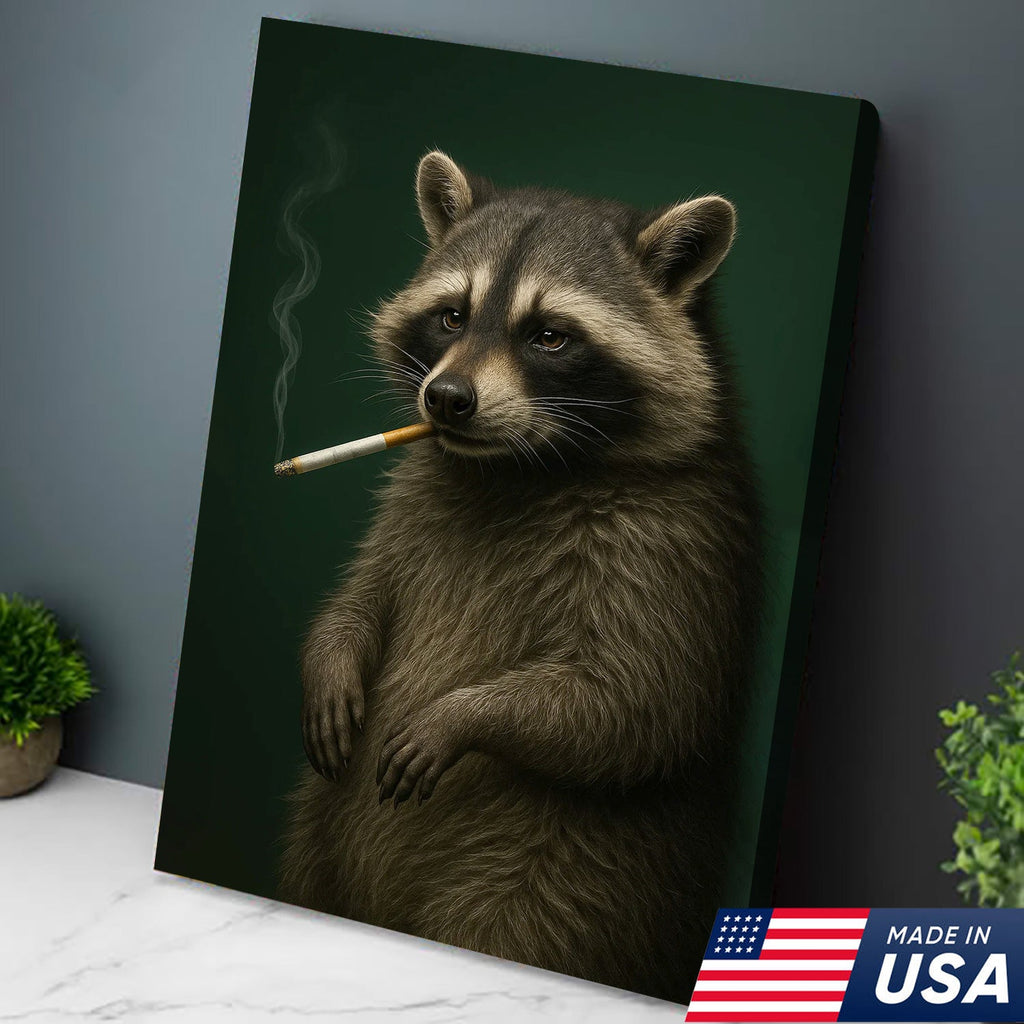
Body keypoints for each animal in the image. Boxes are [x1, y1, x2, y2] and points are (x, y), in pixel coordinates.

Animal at [280, 151, 763, 1002]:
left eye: (550, 336)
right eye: (451, 316)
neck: (517, 468)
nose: (445, 399)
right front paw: (331, 657)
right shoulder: (407, 502)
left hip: (554, 882)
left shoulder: (679, 547)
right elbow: (363, 596)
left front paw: (463, 715)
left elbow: (639, 701)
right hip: (319, 840)